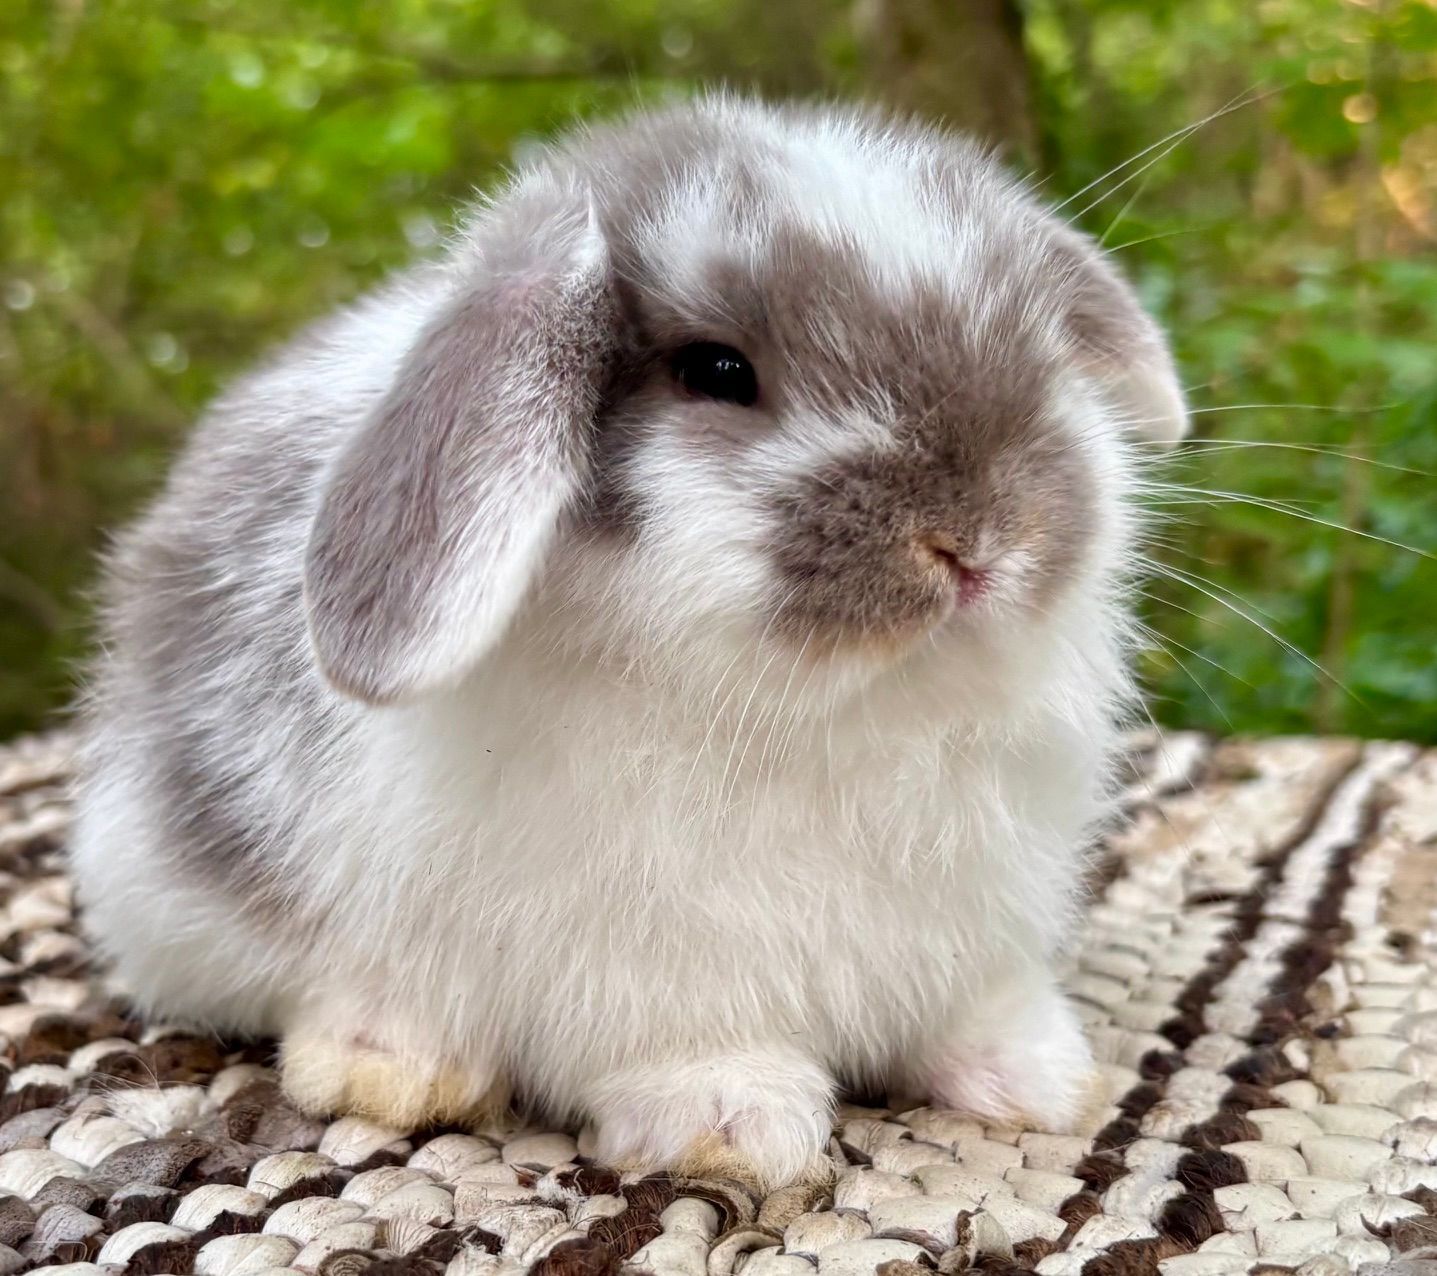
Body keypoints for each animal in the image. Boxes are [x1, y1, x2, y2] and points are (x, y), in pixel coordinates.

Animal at [71, 94, 1188, 1189]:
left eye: (1039, 346)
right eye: (717, 369)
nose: (978, 539)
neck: (846, 708)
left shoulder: (976, 930)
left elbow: (980, 1009)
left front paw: (1040, 1078)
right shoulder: (651, 966)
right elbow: (690, 1049)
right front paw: (733, 1121)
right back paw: (391, 1066)